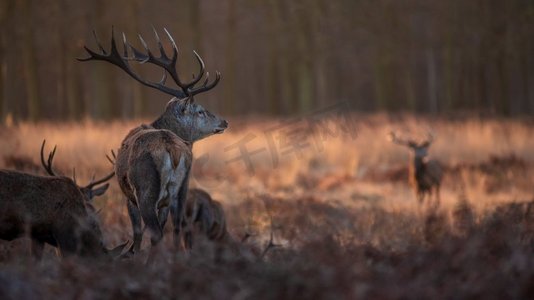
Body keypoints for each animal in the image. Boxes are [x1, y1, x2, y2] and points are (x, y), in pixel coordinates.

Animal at [79, 28, 228, 253]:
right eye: (201, 111)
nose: (224, 121)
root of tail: (172, 149)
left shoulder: (129, 197)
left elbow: (137, 235)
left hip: (146, 191)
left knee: (156, 233)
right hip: (179, 190)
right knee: (177, 229)